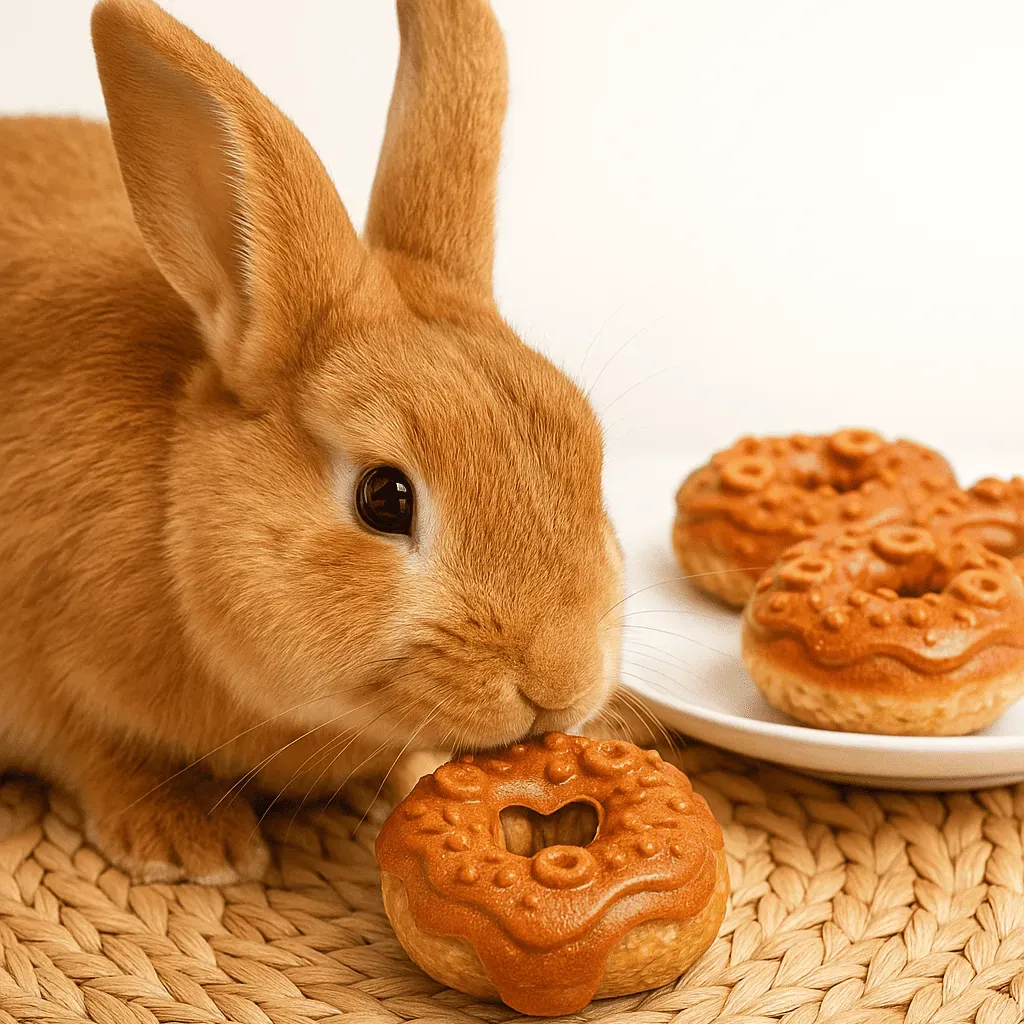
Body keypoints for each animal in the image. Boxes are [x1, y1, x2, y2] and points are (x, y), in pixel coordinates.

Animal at [0, 0, 626, 885]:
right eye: (384, 499)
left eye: (590, 454)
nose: (563, 680)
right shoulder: (48, 676)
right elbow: (103, 754)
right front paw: (191, 845)